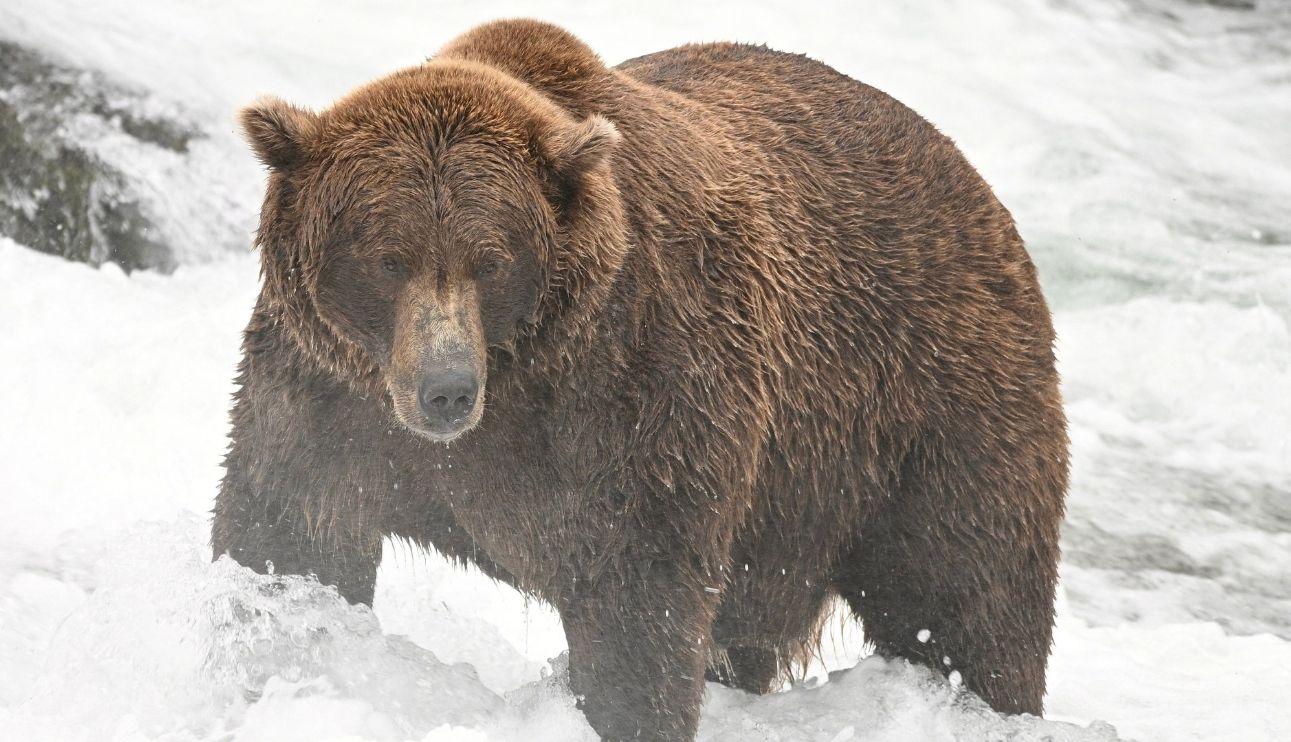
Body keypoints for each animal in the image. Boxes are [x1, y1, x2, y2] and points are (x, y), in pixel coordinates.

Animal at [213, 19, 1068, 741]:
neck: (518, 381)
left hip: (921, 409)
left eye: (490, 260)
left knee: (966, 598)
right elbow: (289, 533)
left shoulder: (637, 390)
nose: (446, 389)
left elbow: (636, 602)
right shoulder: (327, 397)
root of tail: (971, 180)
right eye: (386, 257)